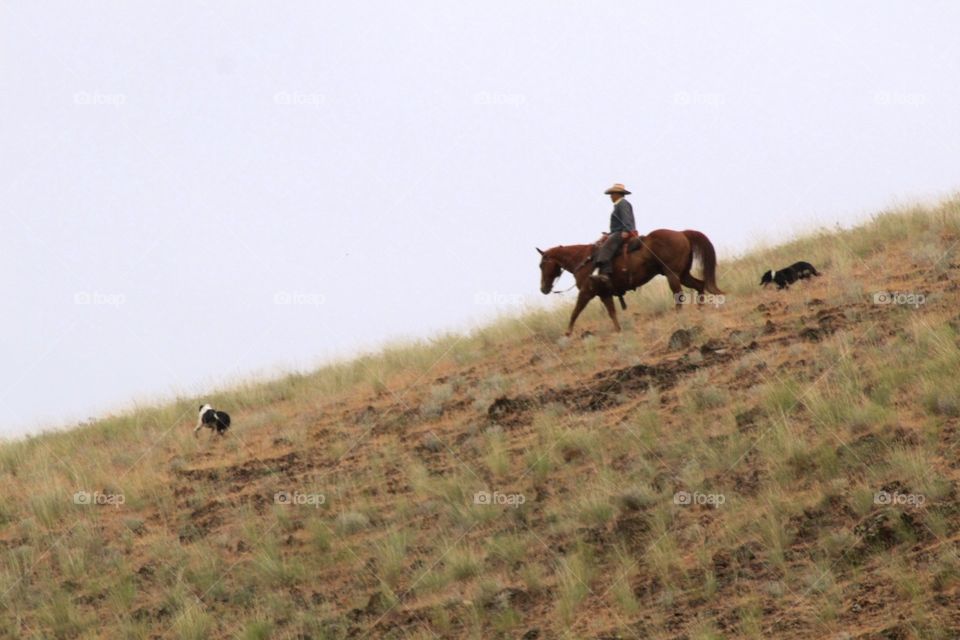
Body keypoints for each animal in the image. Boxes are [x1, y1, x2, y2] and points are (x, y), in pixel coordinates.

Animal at [537, 229, 723, 336]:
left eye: (541, 265)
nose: (543, 289)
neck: (584, 260)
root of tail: (682, 233)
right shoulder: (604, 294)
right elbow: (612, 312)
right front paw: (618, 330)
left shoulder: (587, 292)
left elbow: (576, 311)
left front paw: (568, 332)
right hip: (683, 274)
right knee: (700, 285)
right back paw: (700, 309)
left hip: (672, 275)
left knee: (679, 294)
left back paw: (679, 315)